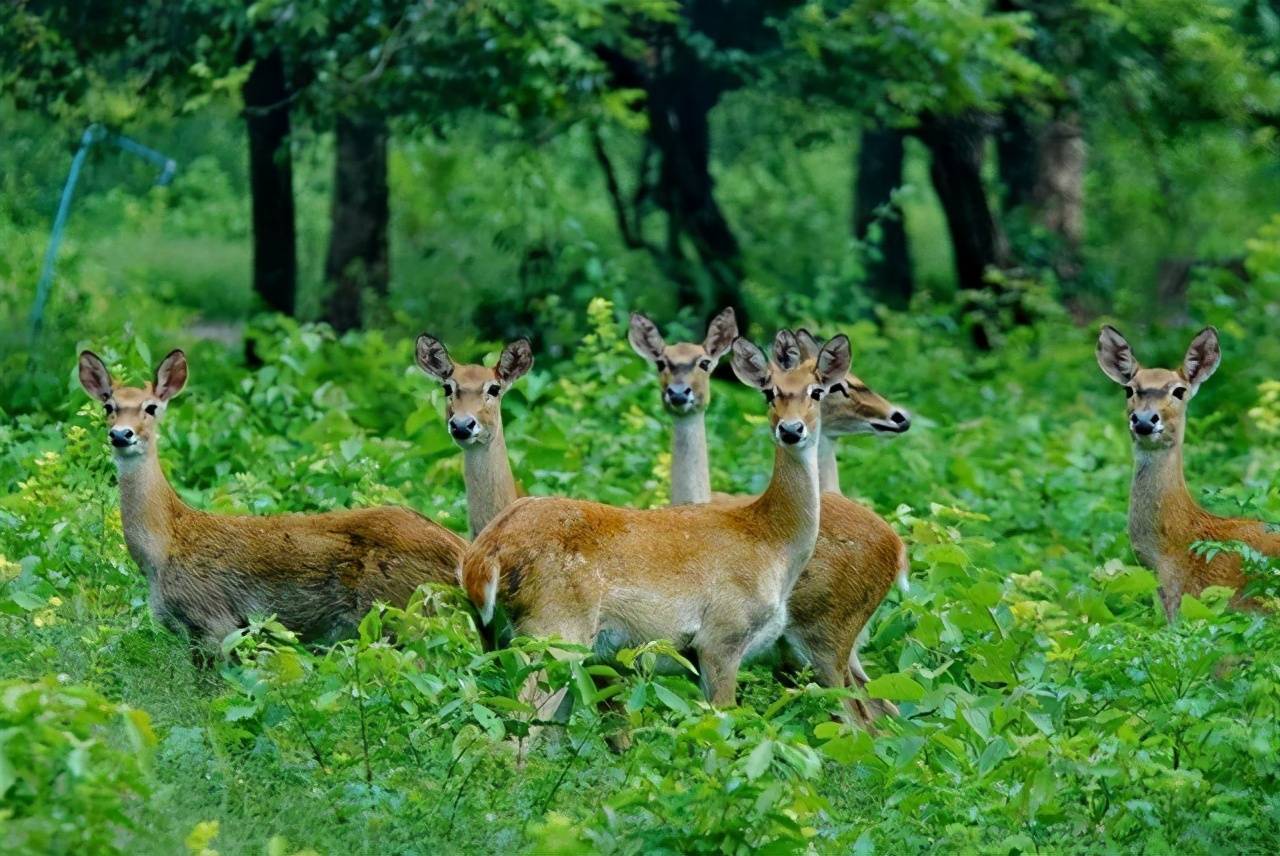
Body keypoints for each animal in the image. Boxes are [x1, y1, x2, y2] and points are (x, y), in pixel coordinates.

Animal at [76, 348, 465, 655]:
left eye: (151, 407)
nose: (121, 434)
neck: (164, 546)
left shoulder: (215, 618)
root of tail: (461, 552)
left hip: (401, 611)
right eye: (108, 406)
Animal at [455, 330, 855, 716]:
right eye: (769, 392)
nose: (791, 430)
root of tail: (484, 555)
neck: (773, 540)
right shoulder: (722, 635)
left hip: (503, 636)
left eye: (816, 391)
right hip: (553, 629)